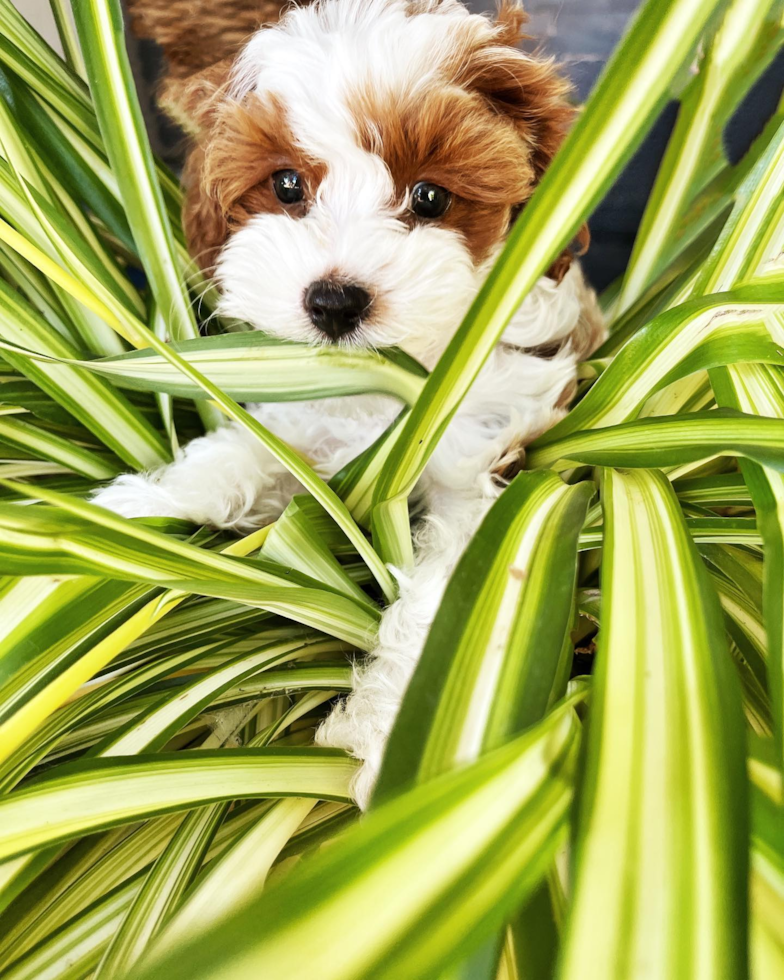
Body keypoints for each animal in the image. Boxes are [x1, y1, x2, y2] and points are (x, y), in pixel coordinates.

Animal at [96, 0, 600, 804]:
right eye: (287, 186)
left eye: (429, 197)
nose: (333, 302)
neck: (396, 377)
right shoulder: (298, 403)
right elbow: (235, 455)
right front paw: (131, 511)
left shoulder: (487, 461)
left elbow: (444, 593)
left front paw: (388, 736)